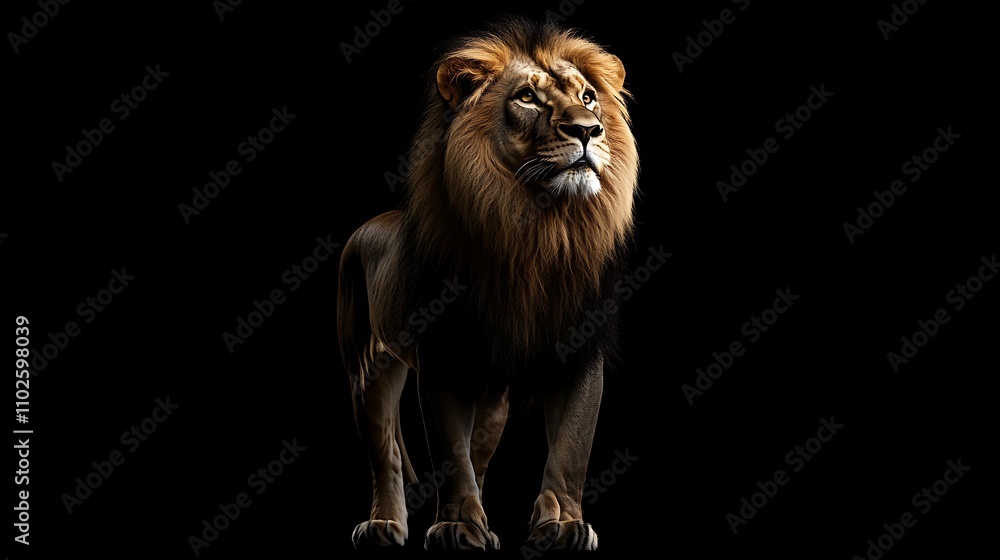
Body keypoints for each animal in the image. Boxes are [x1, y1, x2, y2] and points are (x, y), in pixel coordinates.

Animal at [337, 17, 639, 551]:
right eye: (527, 97)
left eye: (588, 97)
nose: (588, 130)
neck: (540, 232)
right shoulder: (442, 358)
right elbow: (449, 453)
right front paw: (457, 526)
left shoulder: (581, 352)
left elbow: (571, 447)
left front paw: (563, 524)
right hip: (366, 367)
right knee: (385, 454)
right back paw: (385, 525)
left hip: (493, 394)